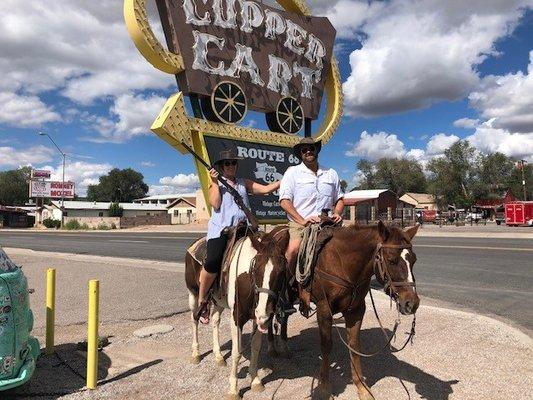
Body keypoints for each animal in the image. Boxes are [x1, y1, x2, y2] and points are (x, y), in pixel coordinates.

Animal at [185, 228, 288, 400]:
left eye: (281, 271)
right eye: (256, 269)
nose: (264, 312)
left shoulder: (256, 319)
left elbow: (256, 347)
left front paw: (255, 381)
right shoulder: (237, 318)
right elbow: (236, 352)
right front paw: (233, 389)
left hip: (218, 302)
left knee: (215, 321)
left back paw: (218, 356)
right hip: (193, 294)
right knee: (194, 320)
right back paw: (195, 354)